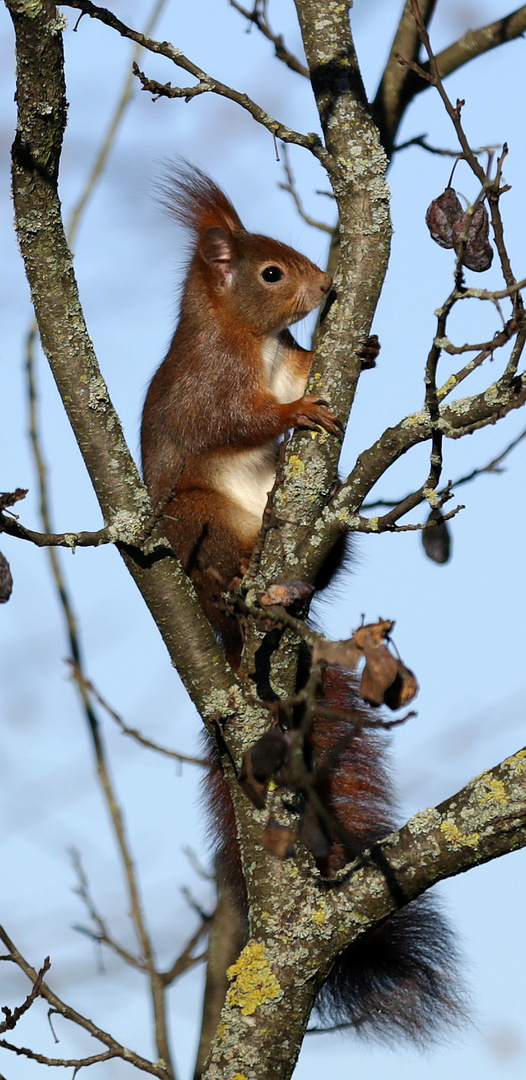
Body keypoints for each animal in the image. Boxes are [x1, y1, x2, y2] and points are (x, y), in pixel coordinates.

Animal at [141, 170, 462, 1045]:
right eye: (271, 273)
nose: (325, 289)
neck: (249, 340)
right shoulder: (207, 386)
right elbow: (234, 417)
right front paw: (289, 418)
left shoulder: (286, 361)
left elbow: (306, 367)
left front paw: (355, 350)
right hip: (197, 524)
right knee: (221, 561)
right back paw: (254, 581)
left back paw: (307, 568)